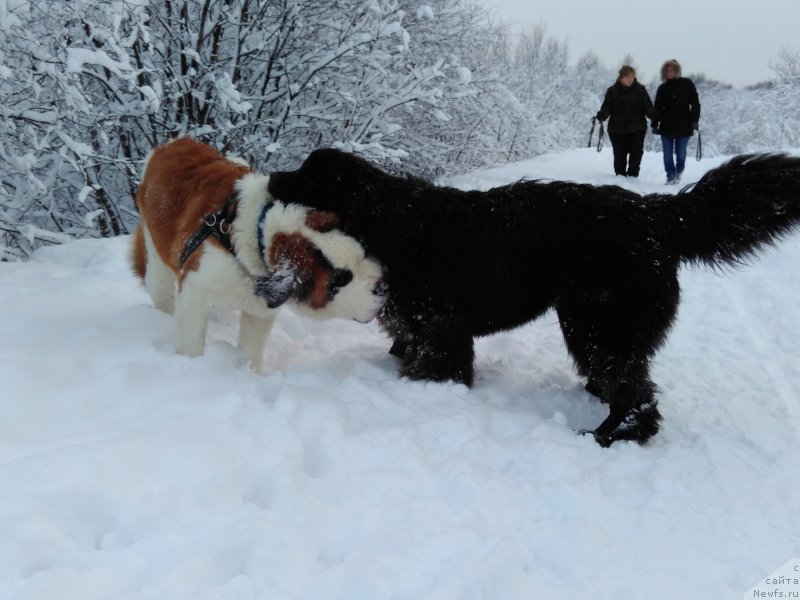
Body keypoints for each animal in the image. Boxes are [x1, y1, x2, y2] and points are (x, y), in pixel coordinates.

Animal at [130, 137, 384, 370]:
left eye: (362, 253)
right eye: (341, 279)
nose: (382, 286)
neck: (259, 233)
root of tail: (172, 144)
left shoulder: (261, 310)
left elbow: (252, 346)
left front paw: (252, 373)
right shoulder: (195, 292)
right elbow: (192, 339)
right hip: (157, 262)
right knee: (161, 290)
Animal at [268, 151, 800, 446]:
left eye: (308, 174)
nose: (272, 176)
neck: (388, 221)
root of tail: (654, 214)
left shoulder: (441, 326)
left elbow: (436, 366)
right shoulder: (414, 325)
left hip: (599, 320)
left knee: (638, 396)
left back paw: (607, 436)